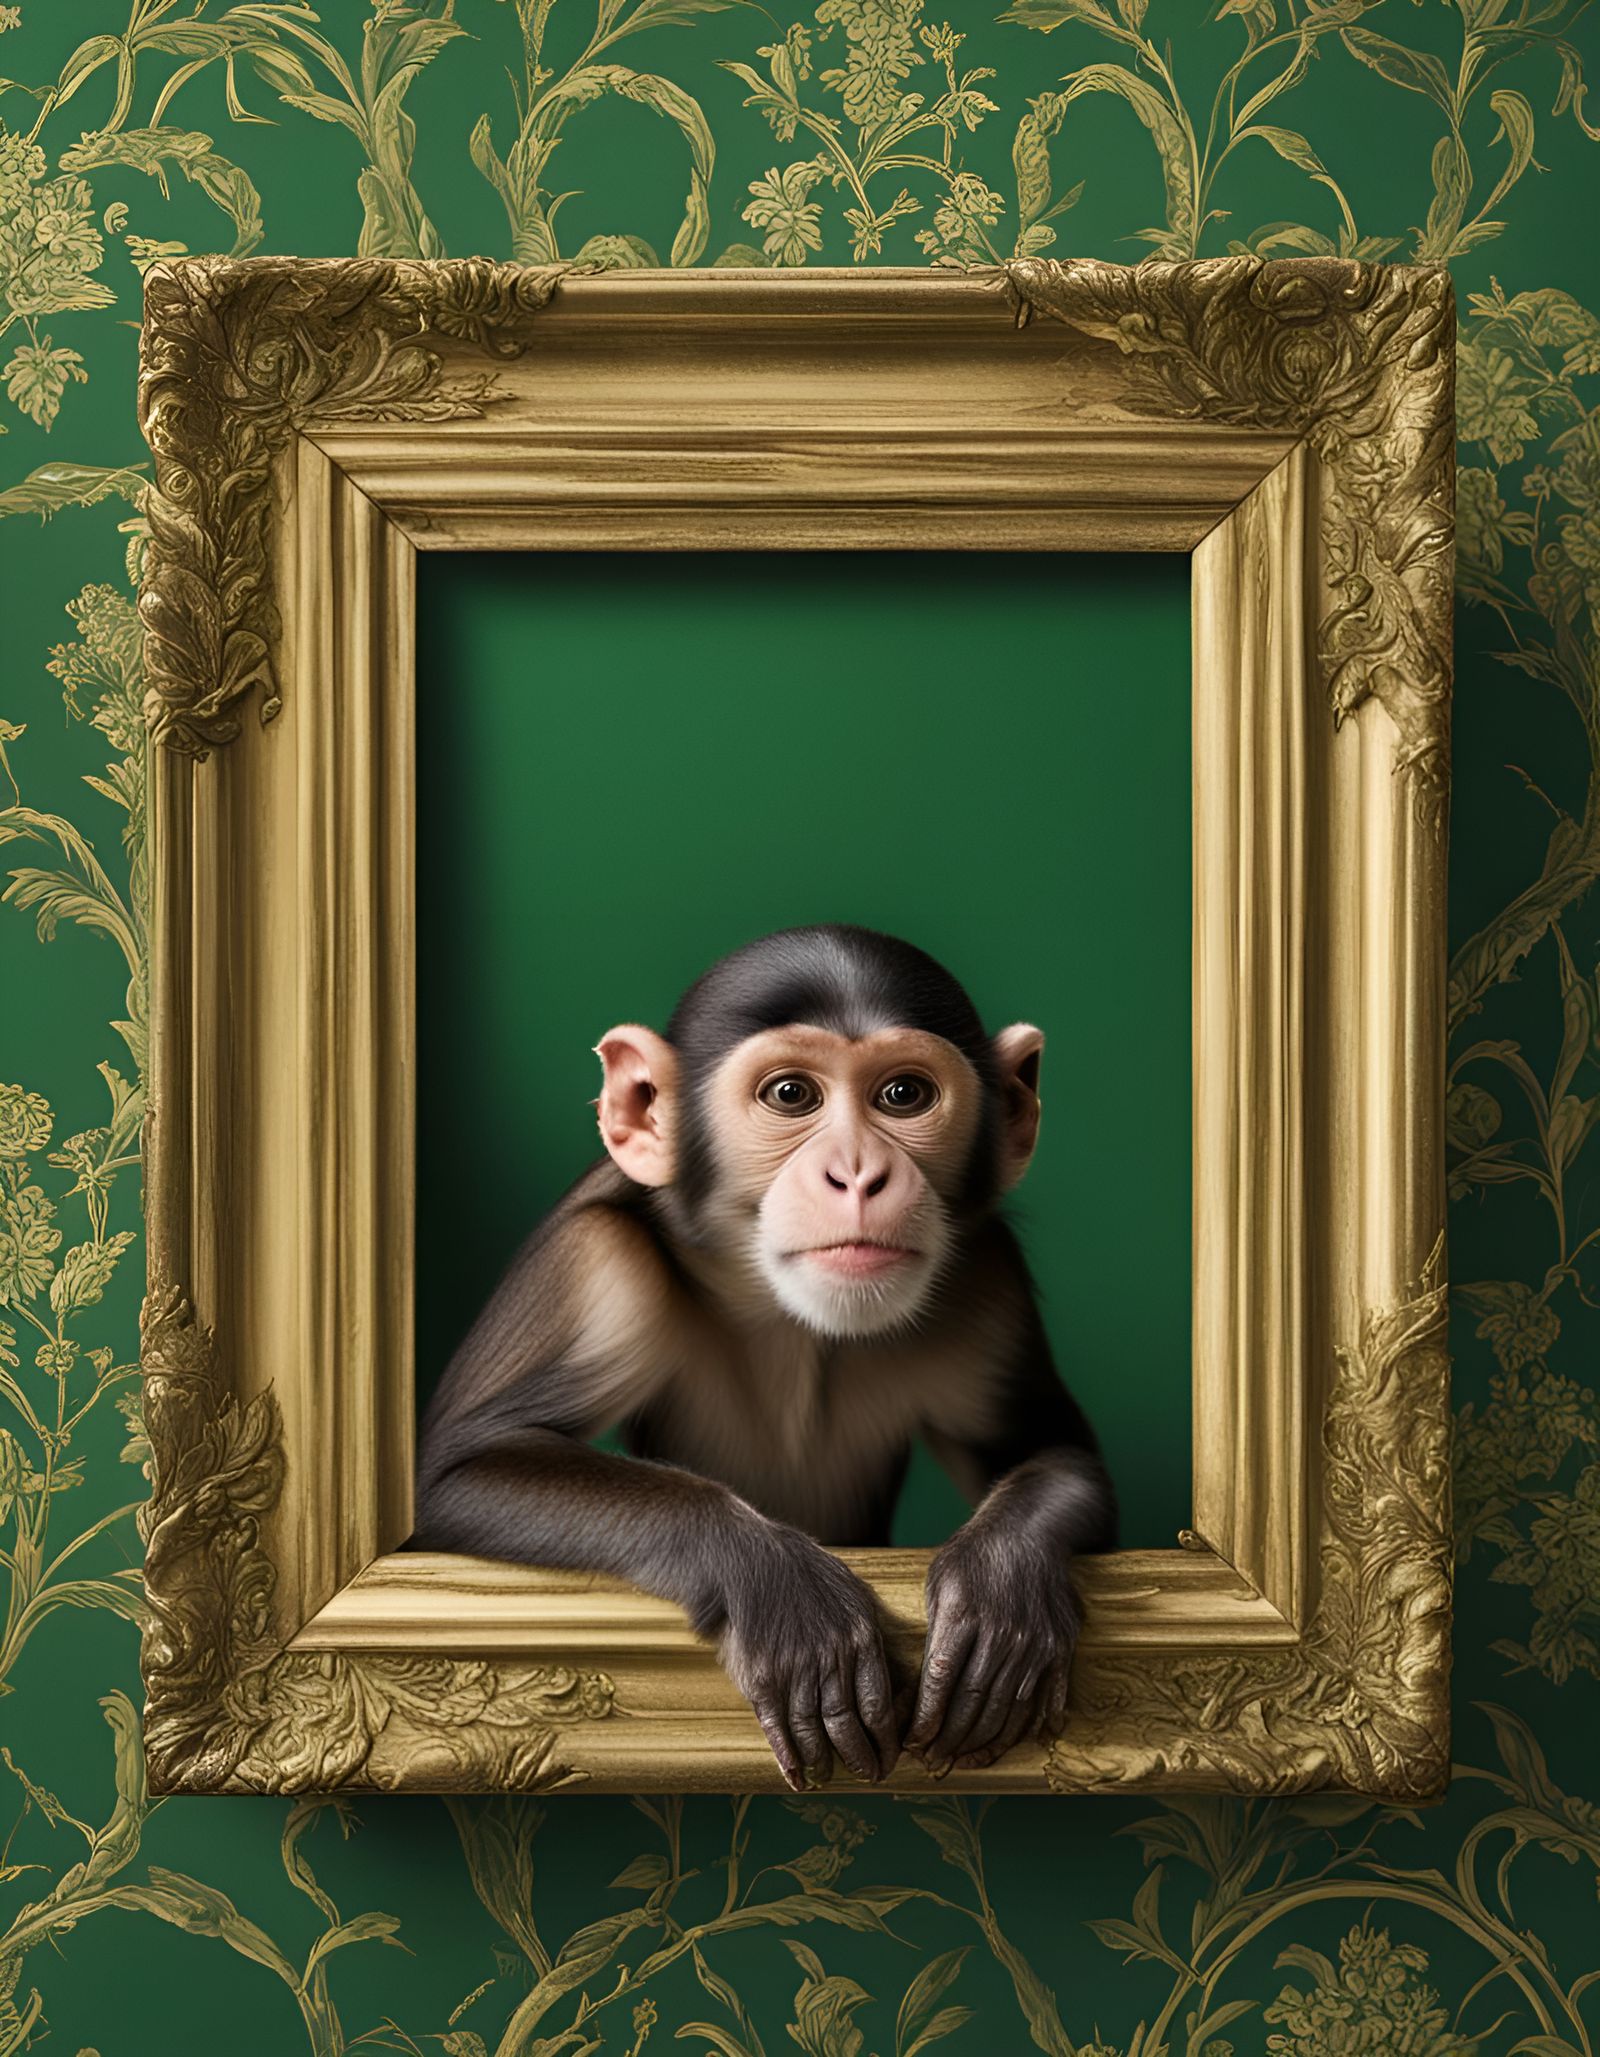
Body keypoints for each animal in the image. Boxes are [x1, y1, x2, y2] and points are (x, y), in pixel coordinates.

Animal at [414, 924, 1116, 1787]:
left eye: (904, 1095)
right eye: (790, 1095)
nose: (858, 1172)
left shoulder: (988, 1283)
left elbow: (1053, 1450)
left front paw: (999, 1582)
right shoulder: (596, 1263)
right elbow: (462, 1466)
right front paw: (782, 1590)